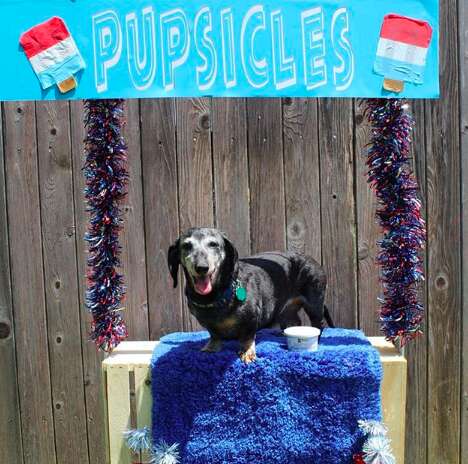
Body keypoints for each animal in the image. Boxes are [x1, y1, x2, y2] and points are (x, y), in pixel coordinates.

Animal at [168, 227, 332, 362]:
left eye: (213, 244)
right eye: (186, 245)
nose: (202, 267)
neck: (215, 296)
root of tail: (311, 259)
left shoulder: (251, 320)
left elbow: (247, 337)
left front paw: (247, 353)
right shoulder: (208, 324)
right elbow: (214, 334)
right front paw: (211, 347)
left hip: (314, 303)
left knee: (319, 324)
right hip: (285, 311)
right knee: (294, 321)